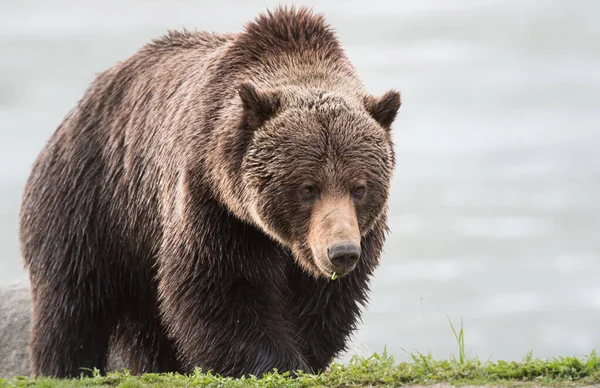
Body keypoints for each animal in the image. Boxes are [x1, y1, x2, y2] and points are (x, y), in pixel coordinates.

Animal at [18, 4, 400, 378]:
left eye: (359, 187)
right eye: (308, 187)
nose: (341, 252)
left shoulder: (353, 234)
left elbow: (325, 301)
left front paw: (305, 355)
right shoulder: (213, 203)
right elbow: (222, 288)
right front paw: (276, 364)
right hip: (92, 204)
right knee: (73, 304)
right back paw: (65, 367)